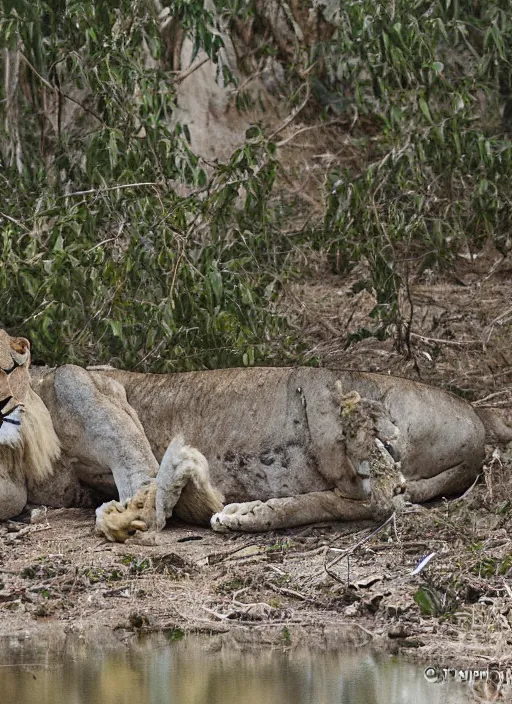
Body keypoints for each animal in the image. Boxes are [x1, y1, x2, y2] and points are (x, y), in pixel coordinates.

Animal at [0, 328, 504, 540]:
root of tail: (477, 428)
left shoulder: (92, 384)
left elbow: (136, 466)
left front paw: (149, 507)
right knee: (361, 502)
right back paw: (244, 514)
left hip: (327, 390)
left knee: (375, 493)